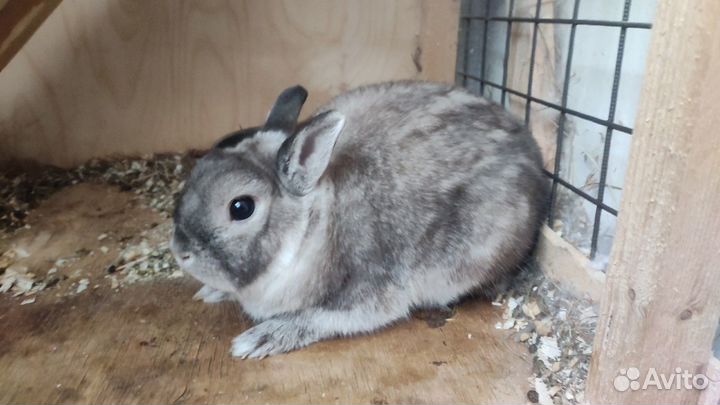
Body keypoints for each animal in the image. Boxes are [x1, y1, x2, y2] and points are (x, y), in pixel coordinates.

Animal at [170, 81, 549, 359]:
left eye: (241, 207)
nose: (180, 252)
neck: (313, 225)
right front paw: (212, 293)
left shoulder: (370, 290)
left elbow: (318, 318)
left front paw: (261, 339)